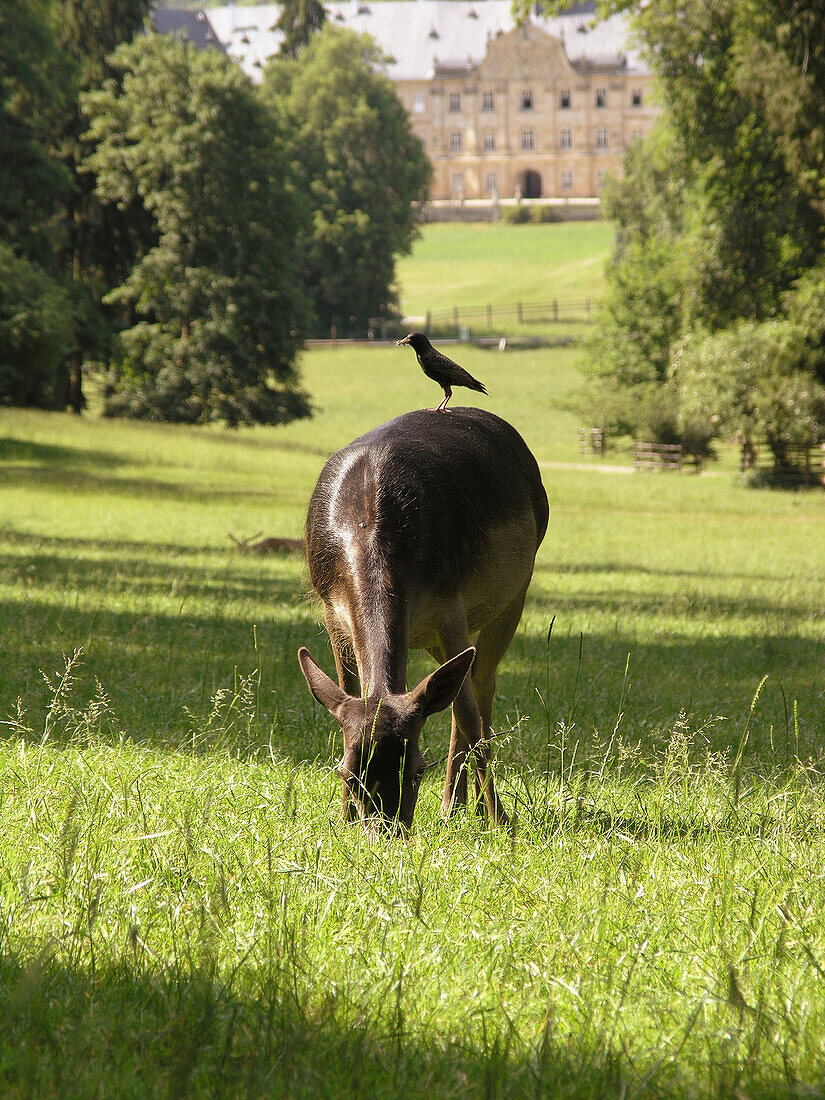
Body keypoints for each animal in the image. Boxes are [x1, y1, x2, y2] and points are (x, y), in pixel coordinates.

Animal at [299, 409, 550, 827]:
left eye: (417, 769)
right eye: (347, 773)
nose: (387, 829)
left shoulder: (448, 605)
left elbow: (467, 712)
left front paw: (499, 816)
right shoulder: (331, 609)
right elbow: (345, 690)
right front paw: (344, 816)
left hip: (515, 589)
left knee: (481, 684)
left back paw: (461, 805)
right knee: (462, 679)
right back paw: (461, 803)